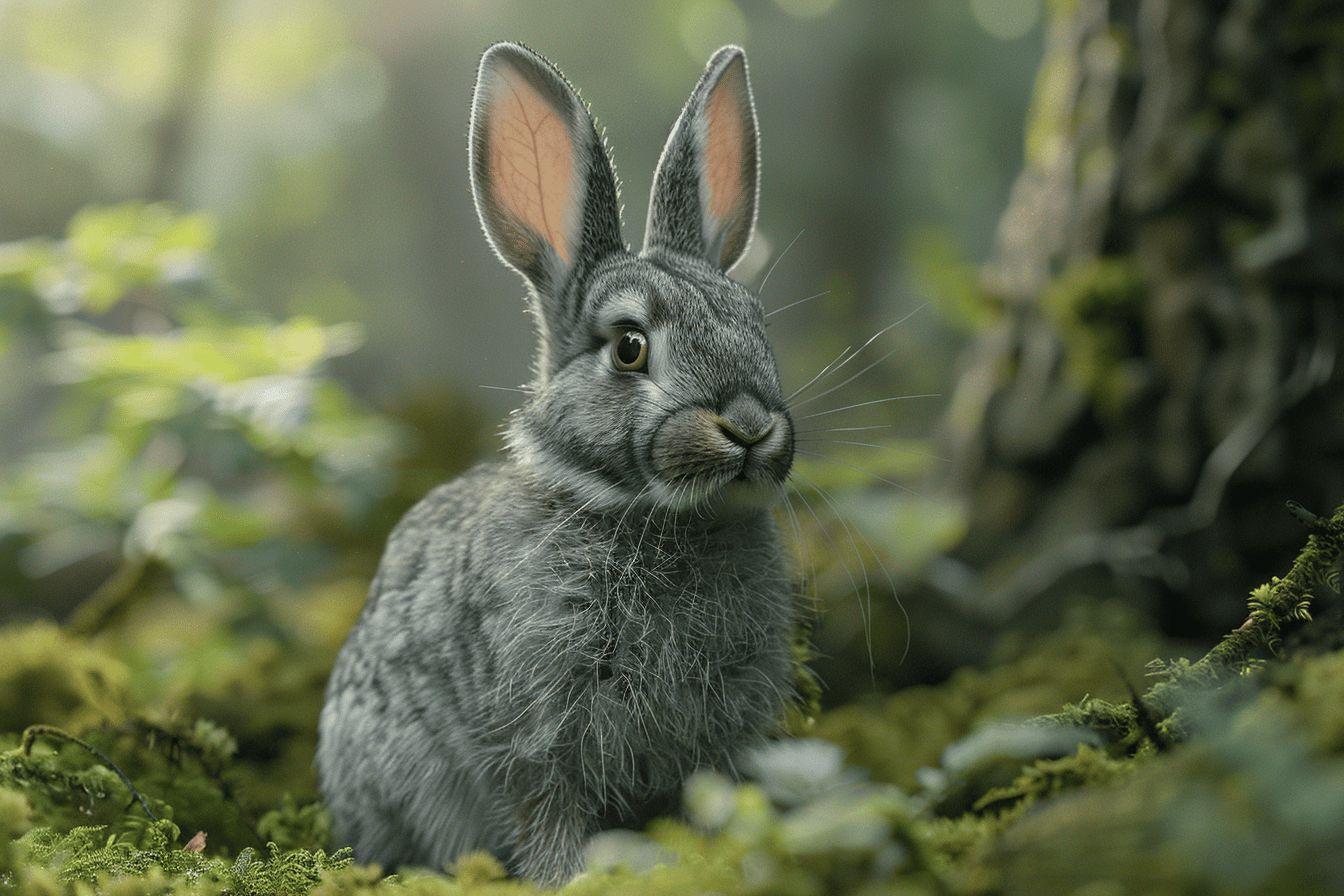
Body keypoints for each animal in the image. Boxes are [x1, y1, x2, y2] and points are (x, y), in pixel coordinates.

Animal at [317, 40, 798, 886]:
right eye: (630, 347)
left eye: (756, 325)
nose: (747, 425)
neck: (643, 512)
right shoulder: (540, 726)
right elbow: (546, 811)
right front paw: (576, 878)